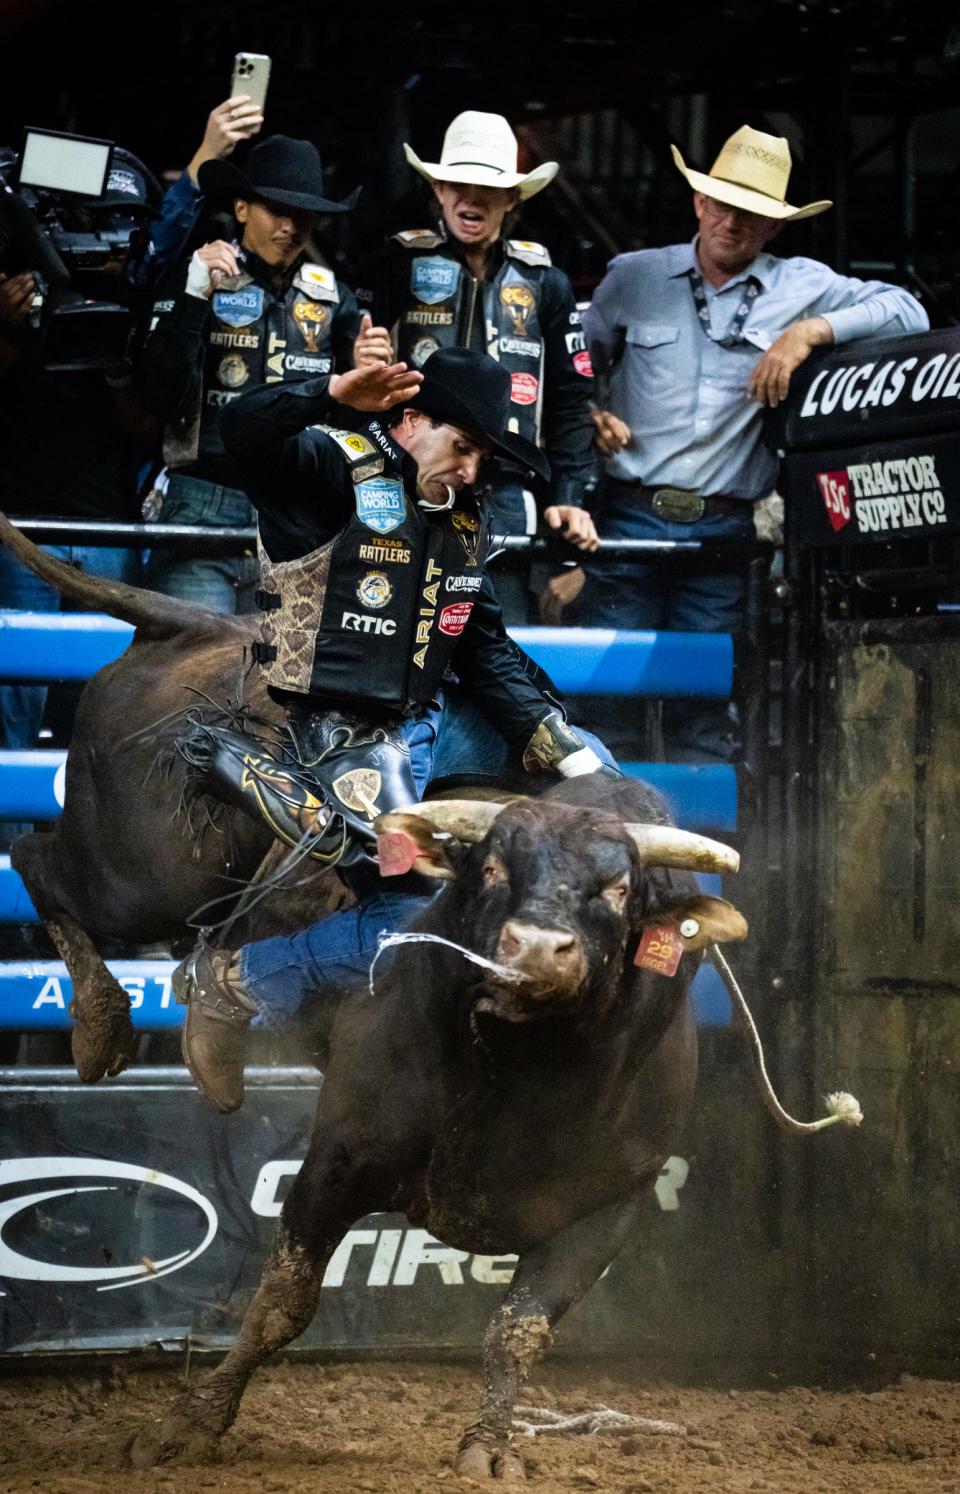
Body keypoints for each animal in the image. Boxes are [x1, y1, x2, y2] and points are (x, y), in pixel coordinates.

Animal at [127, 776, 746, 1476]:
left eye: (618, 888)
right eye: (493, 867)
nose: (537, 949)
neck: (518, 1075)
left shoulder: (608, 1210)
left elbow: (516, 1332)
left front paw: (489, 1446)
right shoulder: (336, 1161)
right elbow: (282, 1303)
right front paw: (191, 1423)